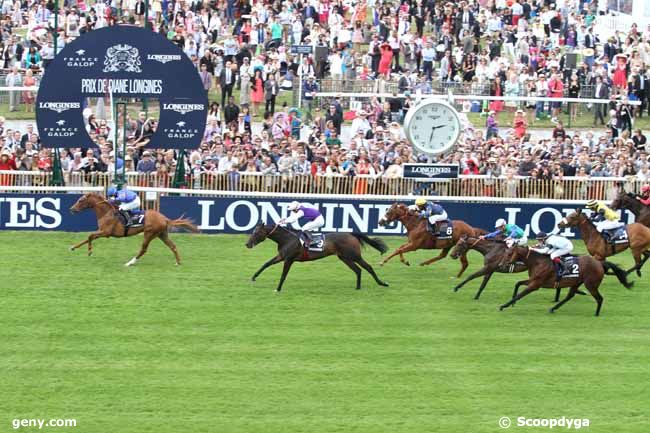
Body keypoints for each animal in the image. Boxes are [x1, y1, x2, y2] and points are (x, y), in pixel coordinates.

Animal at [69, 192, 197, 264]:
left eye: (80, 200)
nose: (72, 209)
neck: (106, 213)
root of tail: (165, 218)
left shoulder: (106, 233)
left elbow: (90, 236)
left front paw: (90, 251)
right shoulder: (101, 231)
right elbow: (87, 237)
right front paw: (73, 247)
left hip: (149, 234)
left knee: (143, 249)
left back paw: (130, 263)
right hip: (162, 234)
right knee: (173, 246)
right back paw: (178, 262)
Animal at [243, 223, 384, 290]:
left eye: (257, 232)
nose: (247, 244)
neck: (287, 239)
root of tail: (351, 234)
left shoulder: (288, 259)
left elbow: (283, 275)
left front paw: (278, 289)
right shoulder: (282, 256)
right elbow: (266, 263)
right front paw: (253, 277)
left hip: (354, 256)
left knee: (368, 267)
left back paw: (382, 283)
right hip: (345, 258)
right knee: (358, 270)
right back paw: (358, 287)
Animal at [496, 246, 628, 314]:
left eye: (509, 254)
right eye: (505, 253)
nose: (500, 265)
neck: (537, 262)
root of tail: (599, 263)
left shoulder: (536, 284)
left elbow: (520, 294)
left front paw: (504, 305)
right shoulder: (533, 280)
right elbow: (517, 284)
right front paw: (512, 303)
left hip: (591, 284)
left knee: (599, 298)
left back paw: (596, 314)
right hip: (577, 282)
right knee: (570, 295)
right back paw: (553, 308)